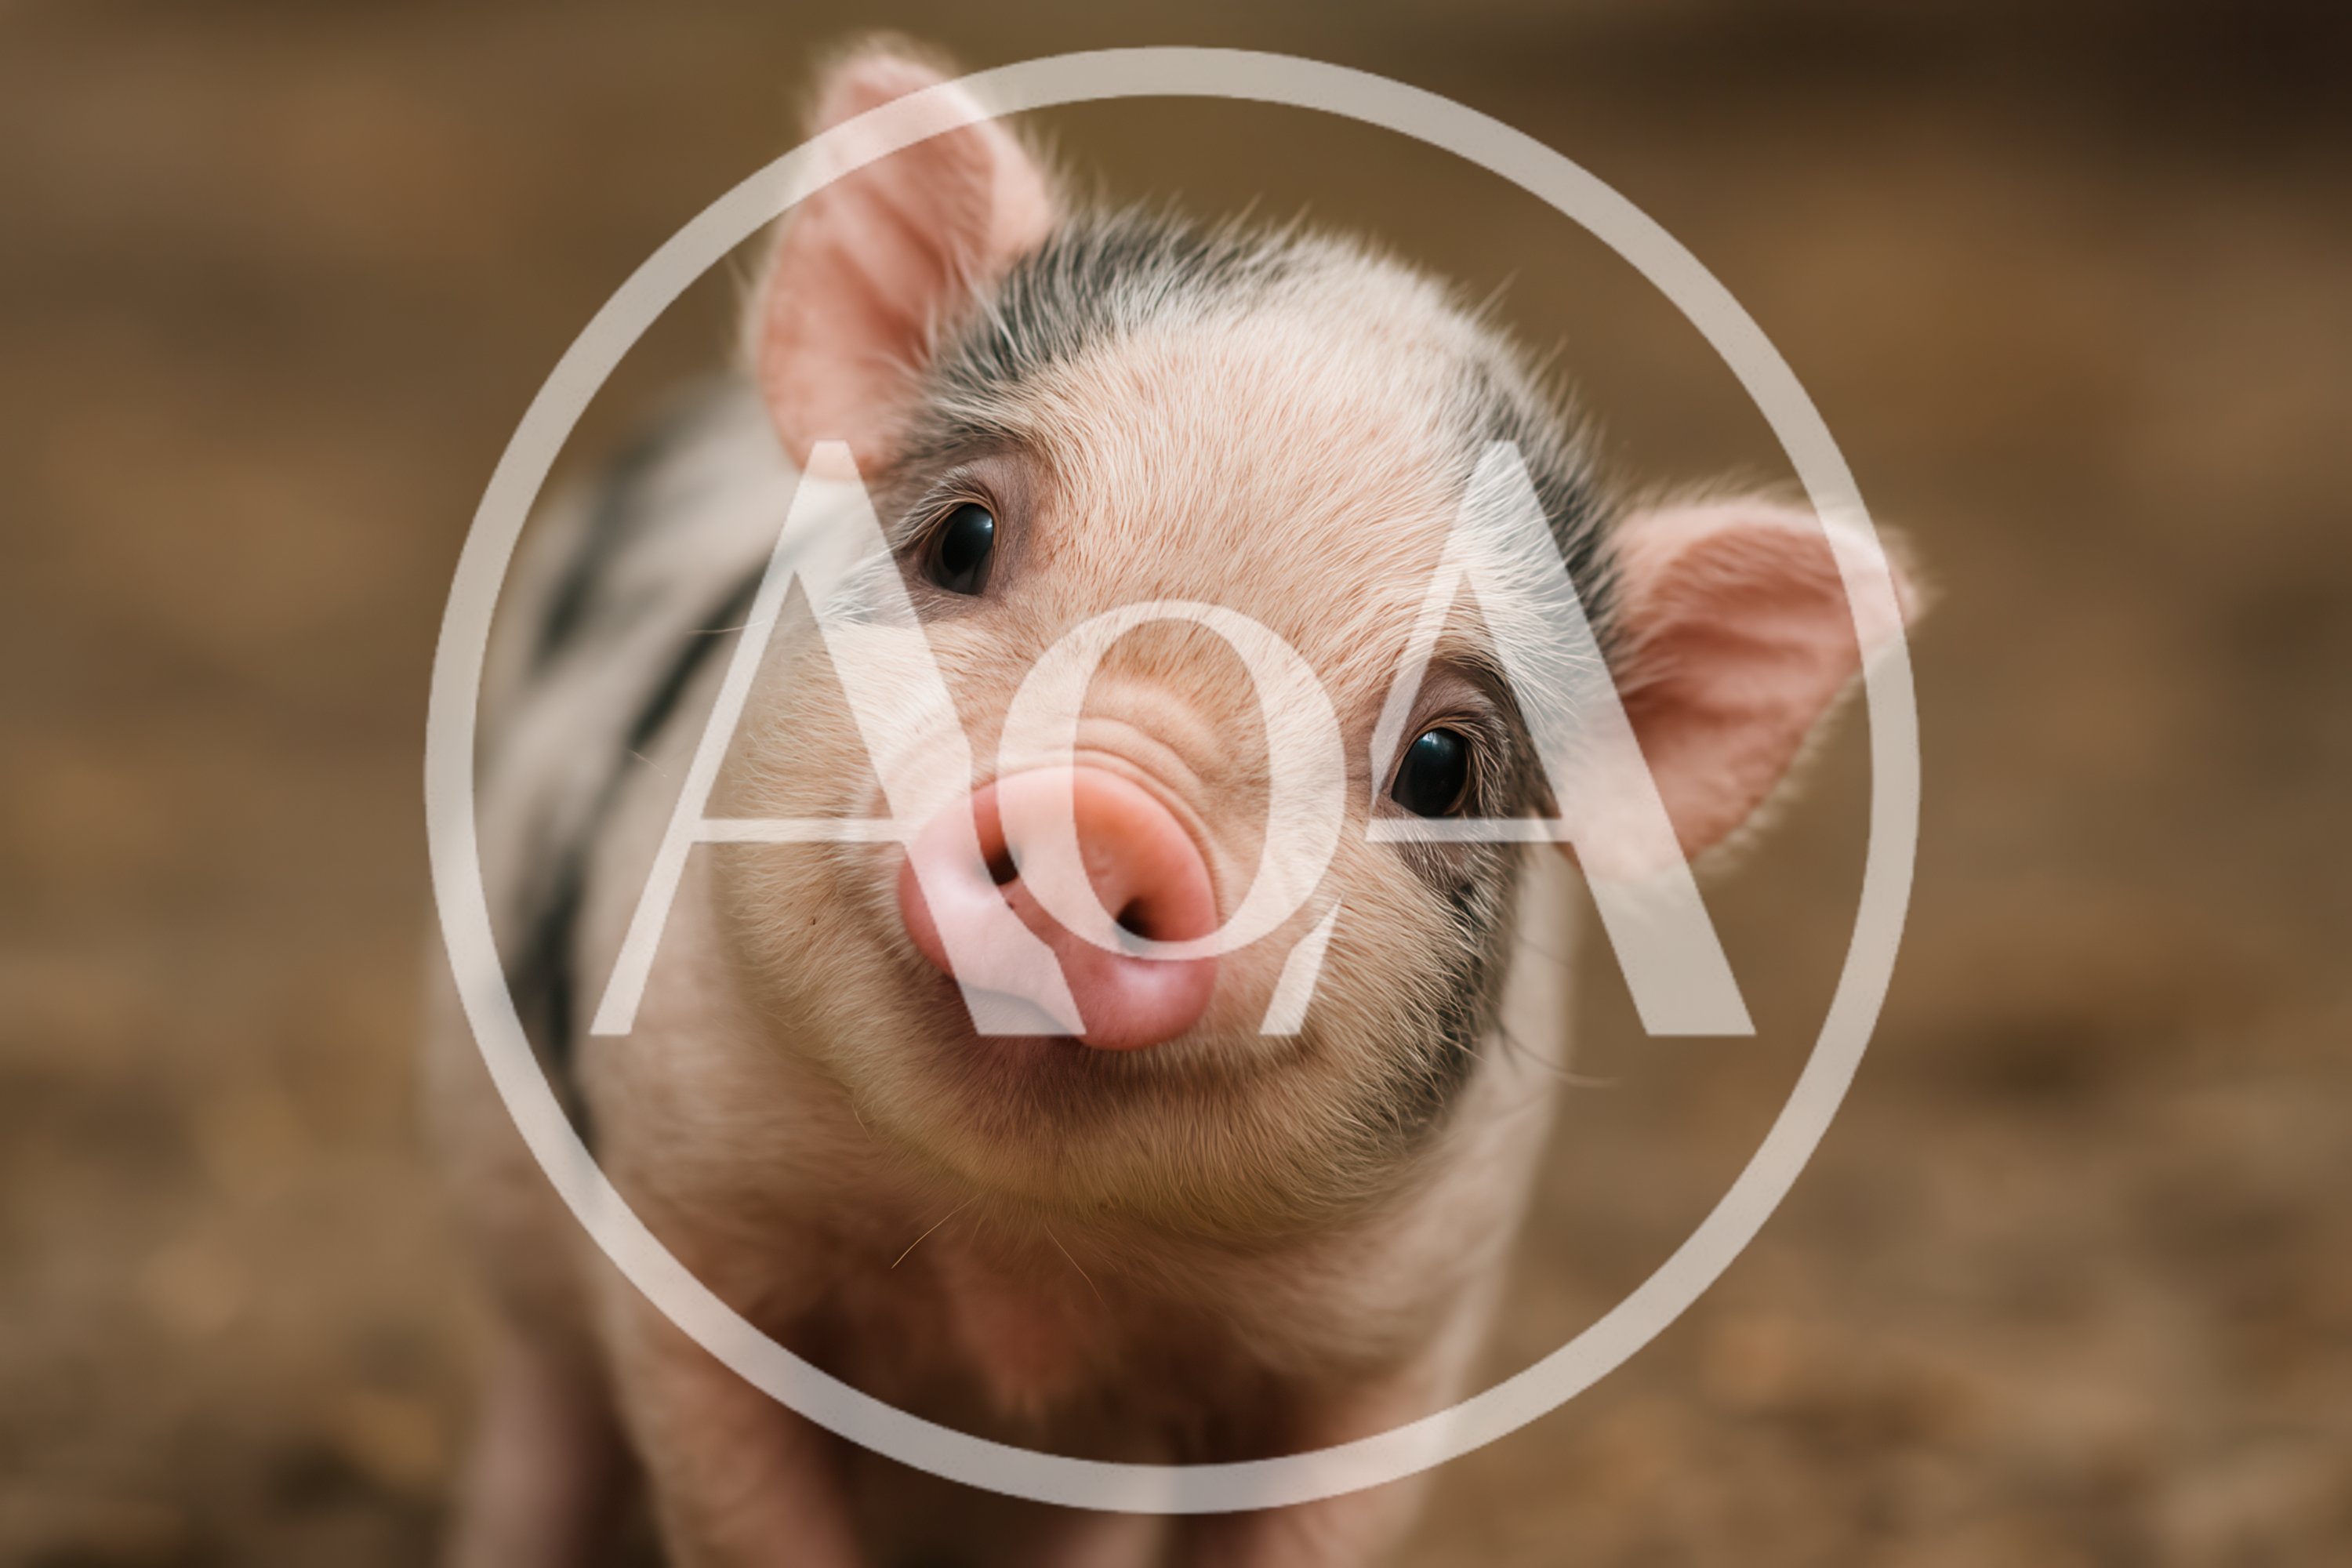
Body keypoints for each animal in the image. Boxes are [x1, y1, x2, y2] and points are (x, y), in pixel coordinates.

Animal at [424, 41, 1918, 1568]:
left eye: (1443, 766)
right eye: (962, 537)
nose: (1111, 810)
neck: (1010, 1267)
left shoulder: (1390, 1342)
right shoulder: (689, 1205)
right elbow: (742, 1505)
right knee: (543, 1414)